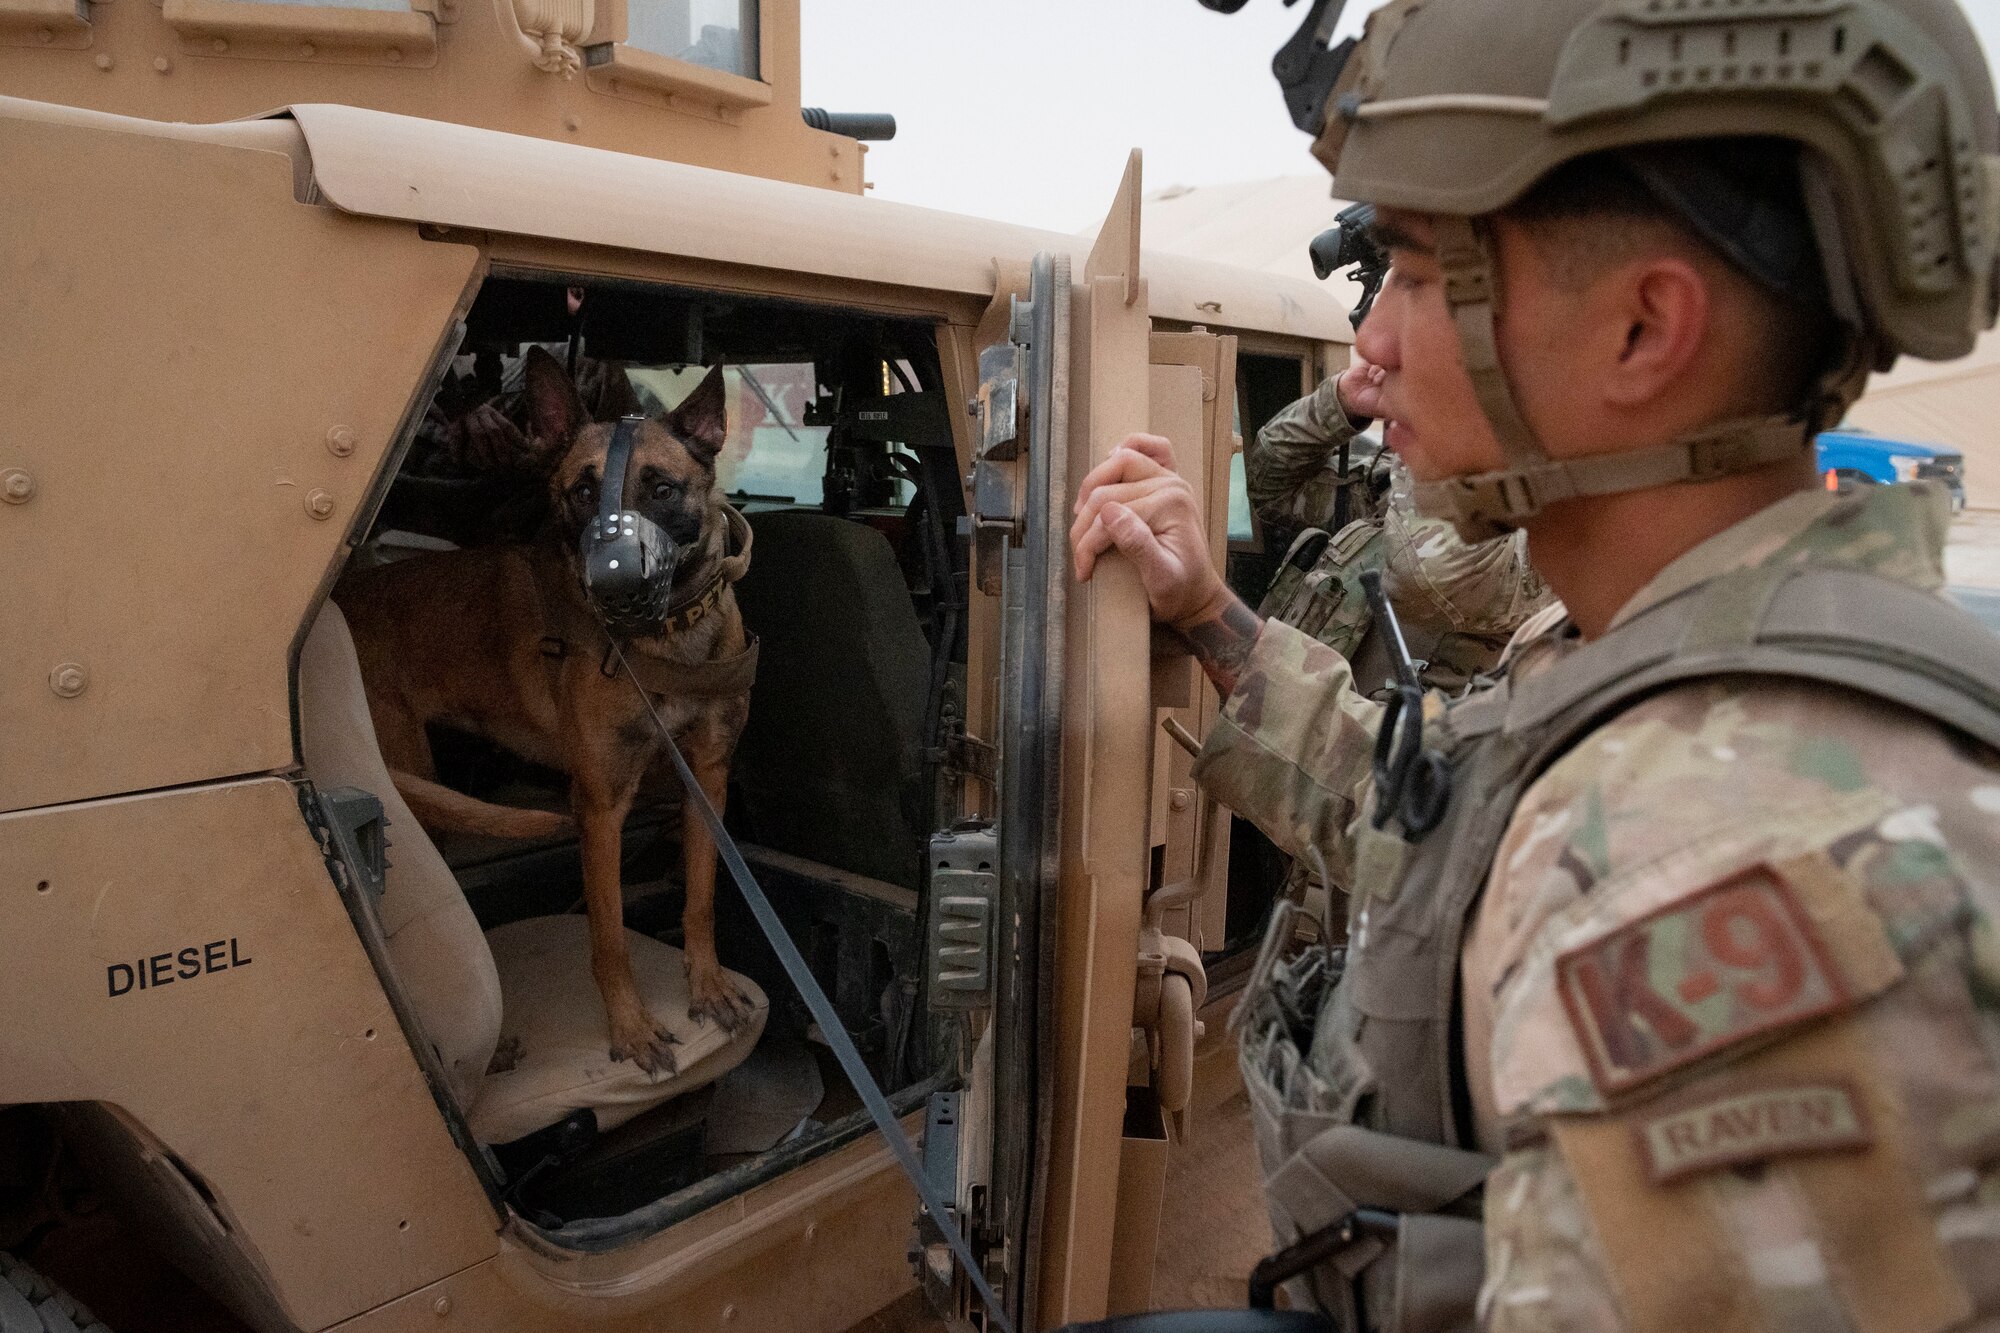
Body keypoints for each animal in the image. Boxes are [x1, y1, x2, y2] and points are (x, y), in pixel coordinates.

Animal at [340, 342, 752, 1072]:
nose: (614, 582)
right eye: (583, 491)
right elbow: (609, 933)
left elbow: (700, 898)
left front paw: (707, 986)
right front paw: (630, 1027)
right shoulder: (600, 806)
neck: (666, 640)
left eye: (661, 488)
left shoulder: (707, 779)